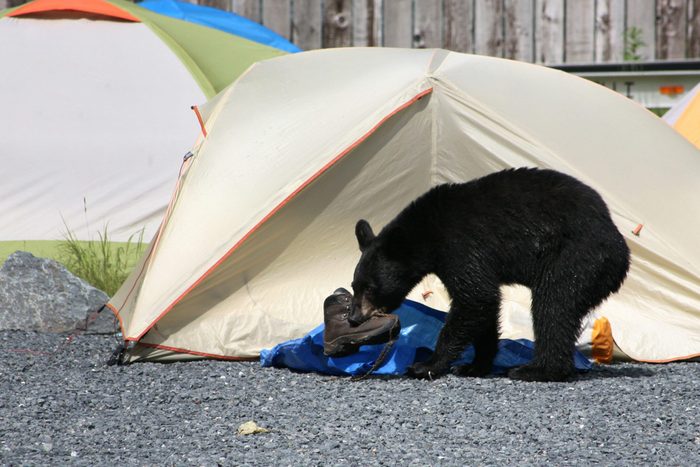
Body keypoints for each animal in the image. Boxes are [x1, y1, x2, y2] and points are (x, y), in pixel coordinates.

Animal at [349, 167, 630, 382]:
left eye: (370, 287)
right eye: (354, 285)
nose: (353, 318)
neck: (429, 233)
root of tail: (620, 248)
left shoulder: (462, 247)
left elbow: (475, 298)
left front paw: (426, 365)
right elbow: (485, 305)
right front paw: (474, 365)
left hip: (575, 258)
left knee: (553, 305)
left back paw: (536, 370)